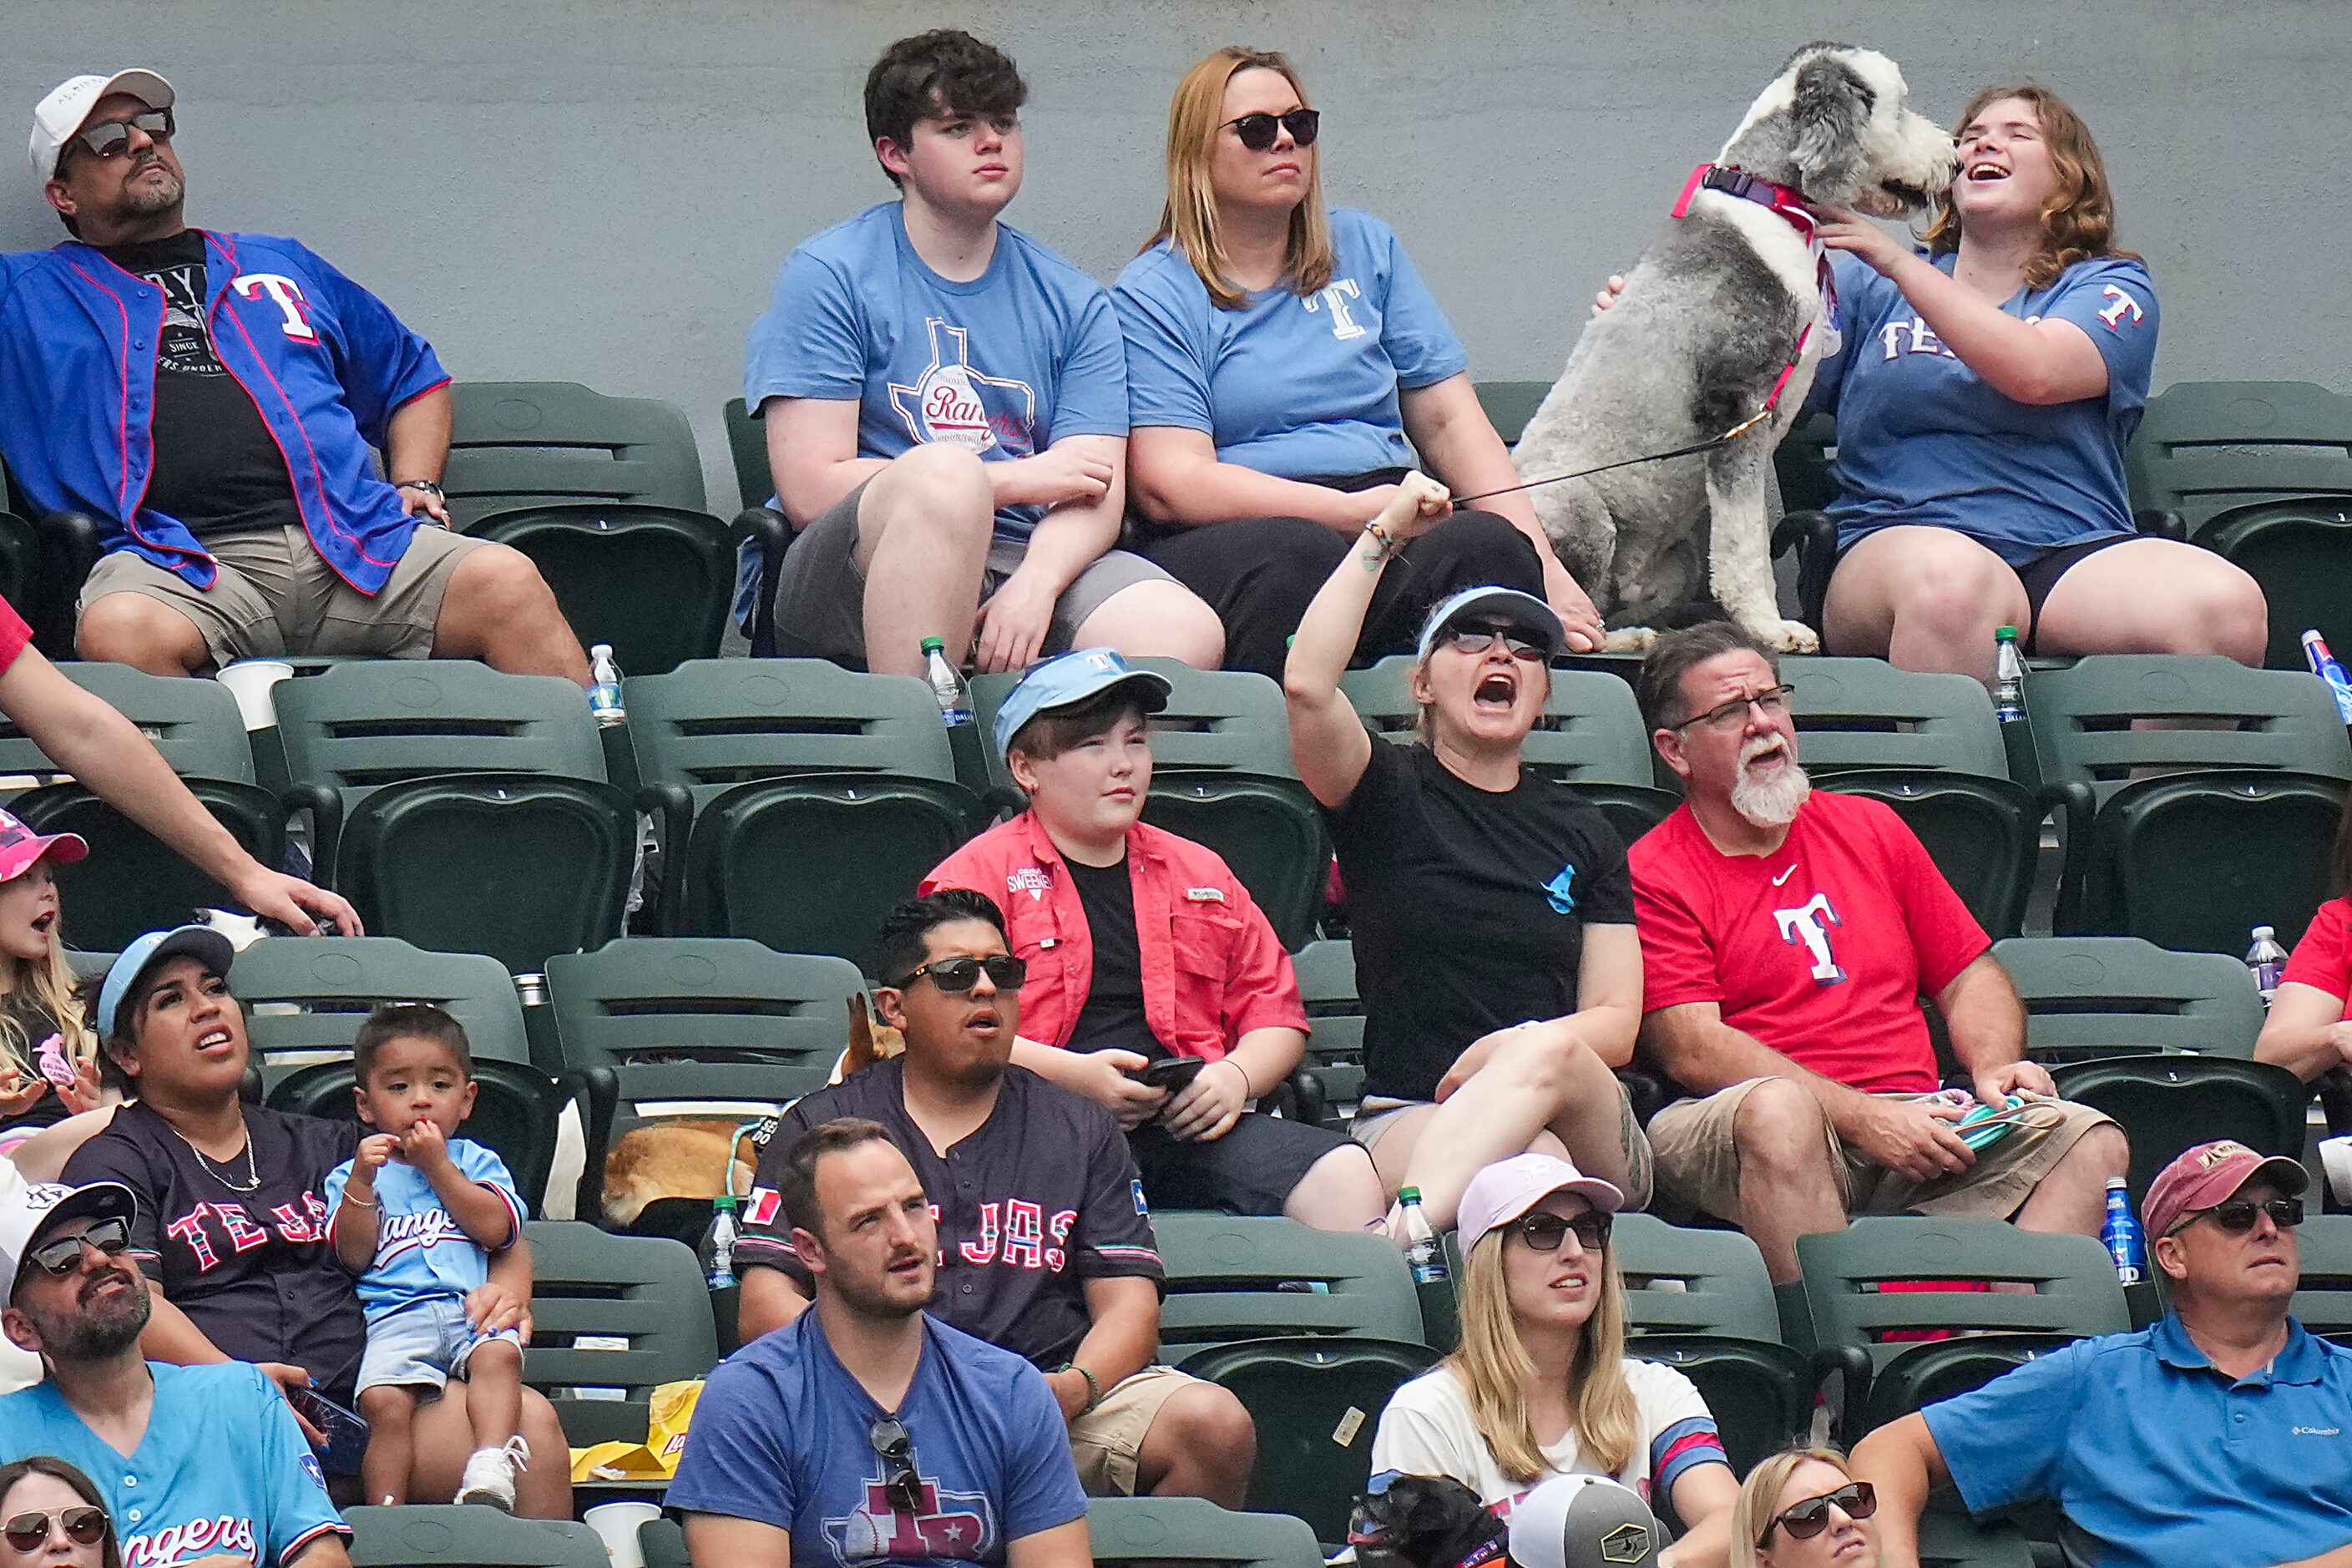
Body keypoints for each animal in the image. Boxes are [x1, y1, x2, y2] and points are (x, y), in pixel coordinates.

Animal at [1515, 44, 1956, 649]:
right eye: (1899, 107)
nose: (1955, 159)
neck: (1771, 203)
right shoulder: (1736, 409)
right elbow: (1743, 544)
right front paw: (1770, 629)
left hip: (1675, 564)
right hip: (1577, 512)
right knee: (1556, 624)